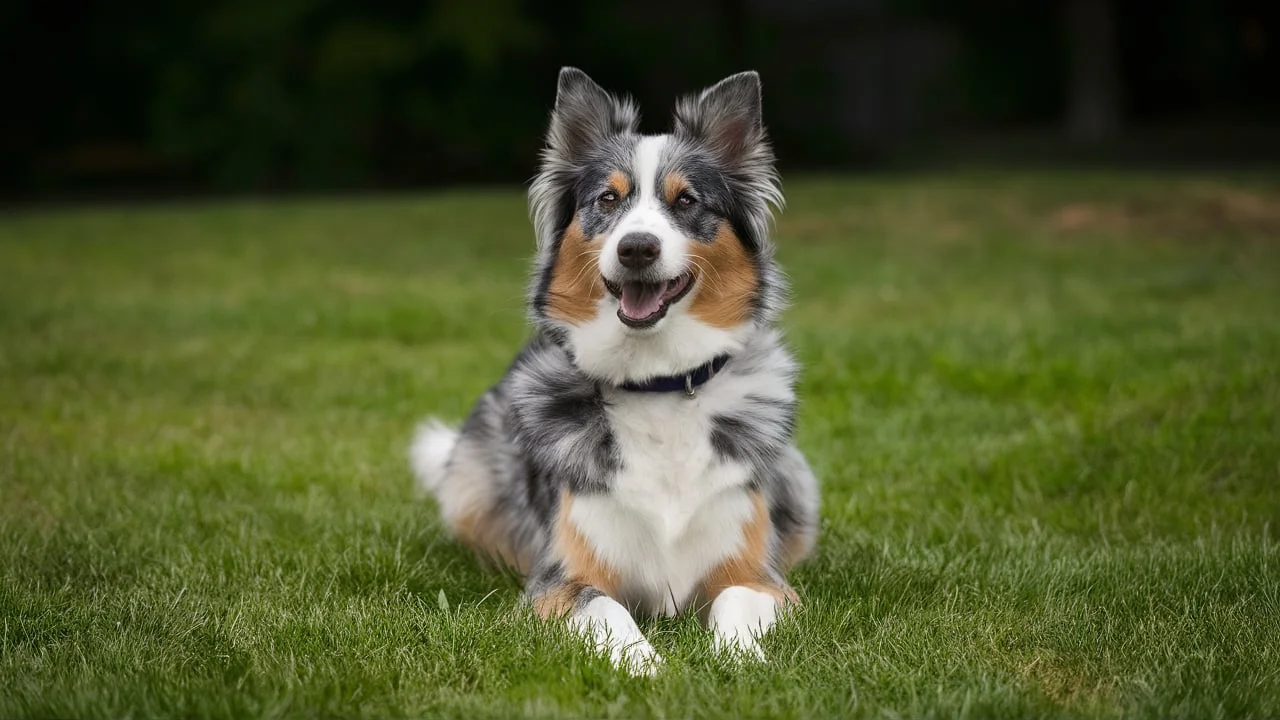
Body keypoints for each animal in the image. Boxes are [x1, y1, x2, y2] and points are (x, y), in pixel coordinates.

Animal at [409, 67, 819, 671]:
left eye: (686, 200)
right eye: (608, 198)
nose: (637, 248)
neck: (657, 385)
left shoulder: (760, 573)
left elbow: (736, 601)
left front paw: (740, 661)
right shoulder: (558, 580)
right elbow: (607, 610)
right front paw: (649, 668)